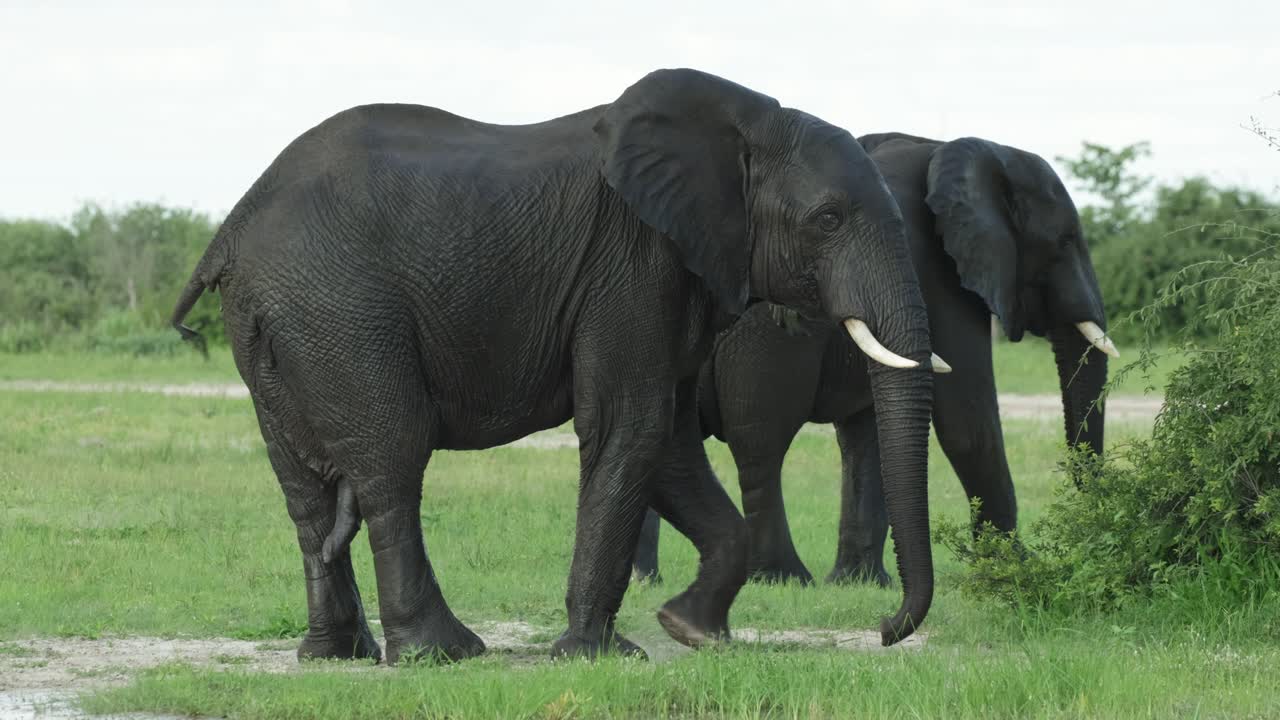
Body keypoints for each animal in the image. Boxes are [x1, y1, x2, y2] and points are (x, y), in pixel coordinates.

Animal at [171, 70, 945, 665]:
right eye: (827, 220)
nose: (883, 631)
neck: (744, 123)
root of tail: (230, 232)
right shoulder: (633, 264)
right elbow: (630, 429)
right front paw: (600, 655)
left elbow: (668, 442)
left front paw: (692, 631)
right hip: (342, 312)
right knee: (392, 464)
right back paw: (443, 653)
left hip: (271, 330)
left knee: (305, 492)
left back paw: (336, 655)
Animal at [632, 132, 1116, 587]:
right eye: (1066, 240)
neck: (955, 150)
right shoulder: (939, 275)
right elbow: (967, 421)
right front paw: (1017, 569)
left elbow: (869, 438)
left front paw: (859, 583)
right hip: (758, 345)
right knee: (761, 443)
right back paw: (783, 578)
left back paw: (646, 580)